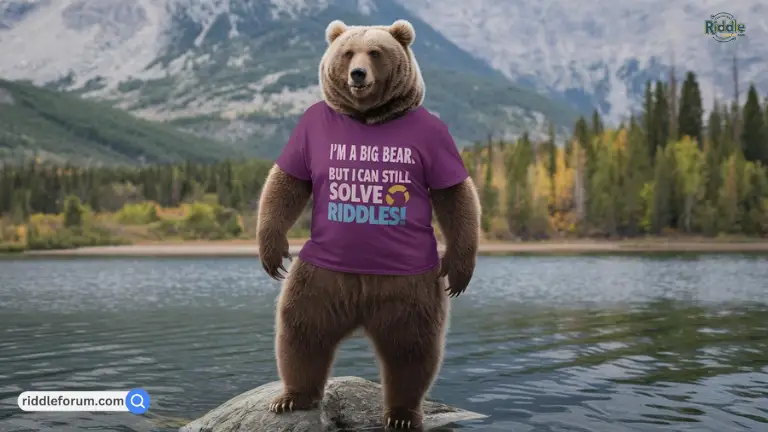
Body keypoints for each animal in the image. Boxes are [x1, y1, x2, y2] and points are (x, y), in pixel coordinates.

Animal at [256, 19, 481, 430]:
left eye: (374, 52)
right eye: (348, 53)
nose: (358, 74)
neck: (367, 117)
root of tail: (360, 311)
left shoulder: (435, 136)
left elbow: (455, 193)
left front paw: (459, 270)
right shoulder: (310, 127)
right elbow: (288, 182)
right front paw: (273, 253)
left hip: (409, 290)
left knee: (411, 348)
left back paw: (403, 413)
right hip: (320, 280)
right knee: (302, 327)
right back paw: (293, 396)